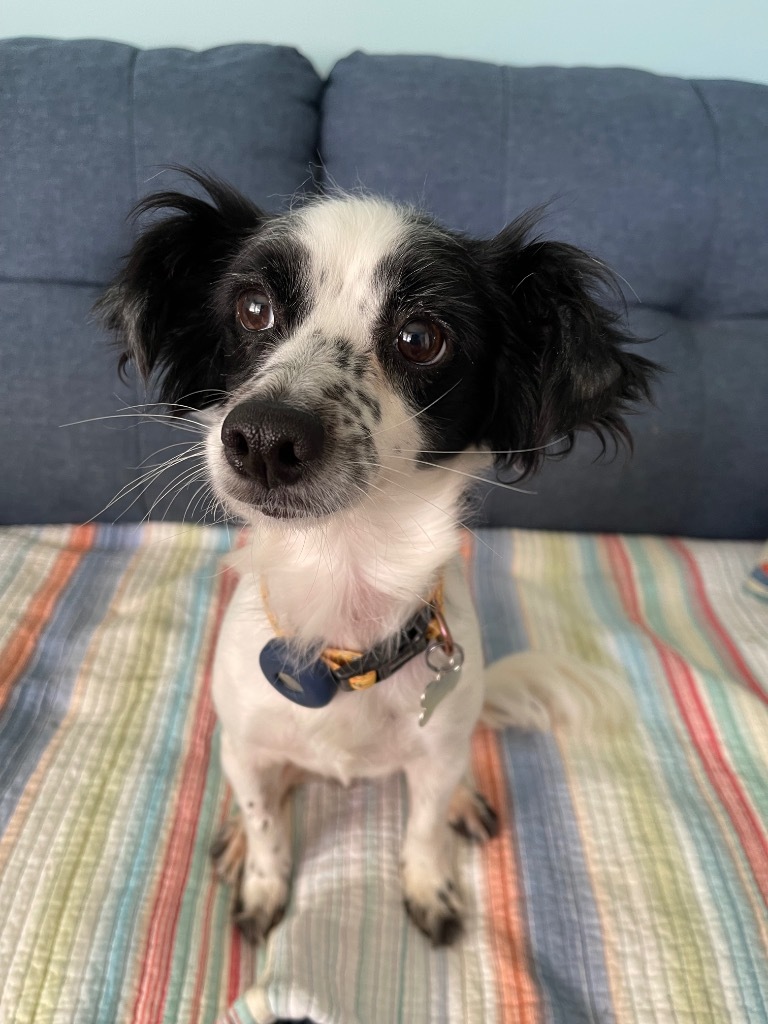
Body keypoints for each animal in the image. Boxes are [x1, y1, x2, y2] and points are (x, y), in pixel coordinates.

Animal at [99, 172, 659, 946]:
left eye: (421, 338)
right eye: (252, 308)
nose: (264, 437)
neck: (343, 596)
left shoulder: (437, 753)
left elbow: (422, 828)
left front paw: (429, 883)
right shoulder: (244, 746)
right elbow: (267, 822)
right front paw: (262, 877)